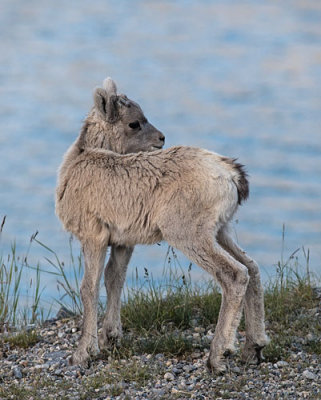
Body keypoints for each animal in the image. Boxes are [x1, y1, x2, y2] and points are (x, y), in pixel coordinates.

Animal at [55, 77, 268, 372]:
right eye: (134, 123)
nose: (161, 138)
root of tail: (232, 175)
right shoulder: (122, 241)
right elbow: (113, 279)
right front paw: (110, 339)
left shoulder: (93, 236)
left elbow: (89, 288)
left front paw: (82, 354)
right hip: (221, 231)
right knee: (252, 268)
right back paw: (253, 349)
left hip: (188, 234)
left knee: (235, 274)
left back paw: (218, 356)